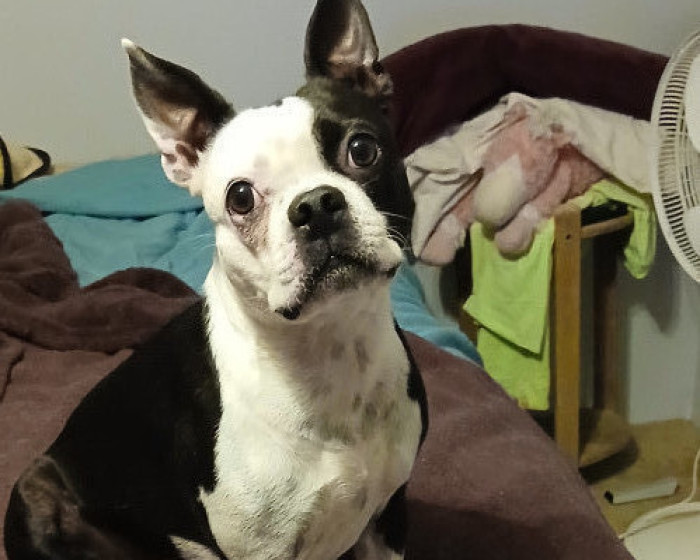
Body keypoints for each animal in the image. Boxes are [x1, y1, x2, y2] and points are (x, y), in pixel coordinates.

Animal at [3, 0, 427, 558]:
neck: (328, 351)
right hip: (35, 497)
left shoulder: (388, 515)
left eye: (362, 150)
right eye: (240, 197)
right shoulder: (262, 550)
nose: (315, 206)